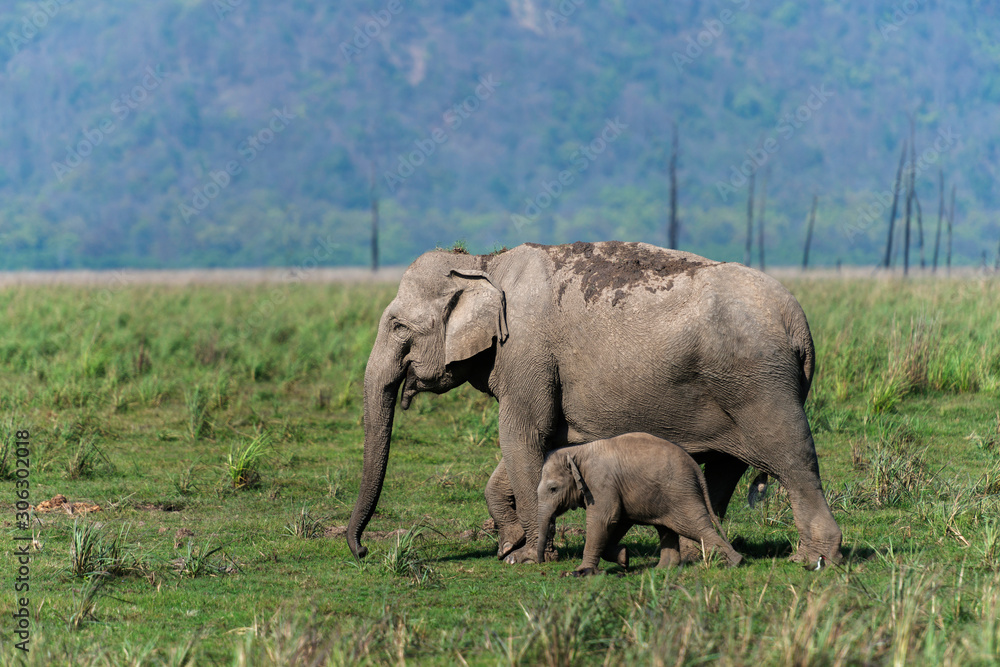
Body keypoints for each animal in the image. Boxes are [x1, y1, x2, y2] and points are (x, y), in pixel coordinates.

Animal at [536, 433, 743, 574]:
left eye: (553, 489)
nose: (541, 561)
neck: (576, 452)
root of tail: (695, 467)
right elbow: (618, 521)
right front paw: (624, 558)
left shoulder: (600, 483)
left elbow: (605, 519)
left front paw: (581, 572)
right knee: (666, 527)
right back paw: (662, 569)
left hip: (680, 492)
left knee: (692, 525)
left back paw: (734, 563)